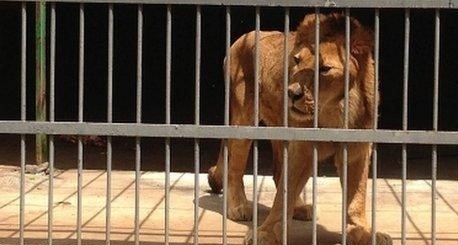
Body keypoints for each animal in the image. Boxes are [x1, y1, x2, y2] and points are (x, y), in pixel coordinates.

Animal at [209, 13, 392, 245]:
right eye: (297, 61)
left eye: (324, 69)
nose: (292, 92)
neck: (335, 111)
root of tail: (240, 39)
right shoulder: (303, 145)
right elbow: (284, 195)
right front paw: (265, 233)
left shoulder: (356, 149)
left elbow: (356, 196)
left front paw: (365, 232)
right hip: (244, 119)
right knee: (235, 167)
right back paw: (238, 206)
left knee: (279, 173)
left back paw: (300, 209)